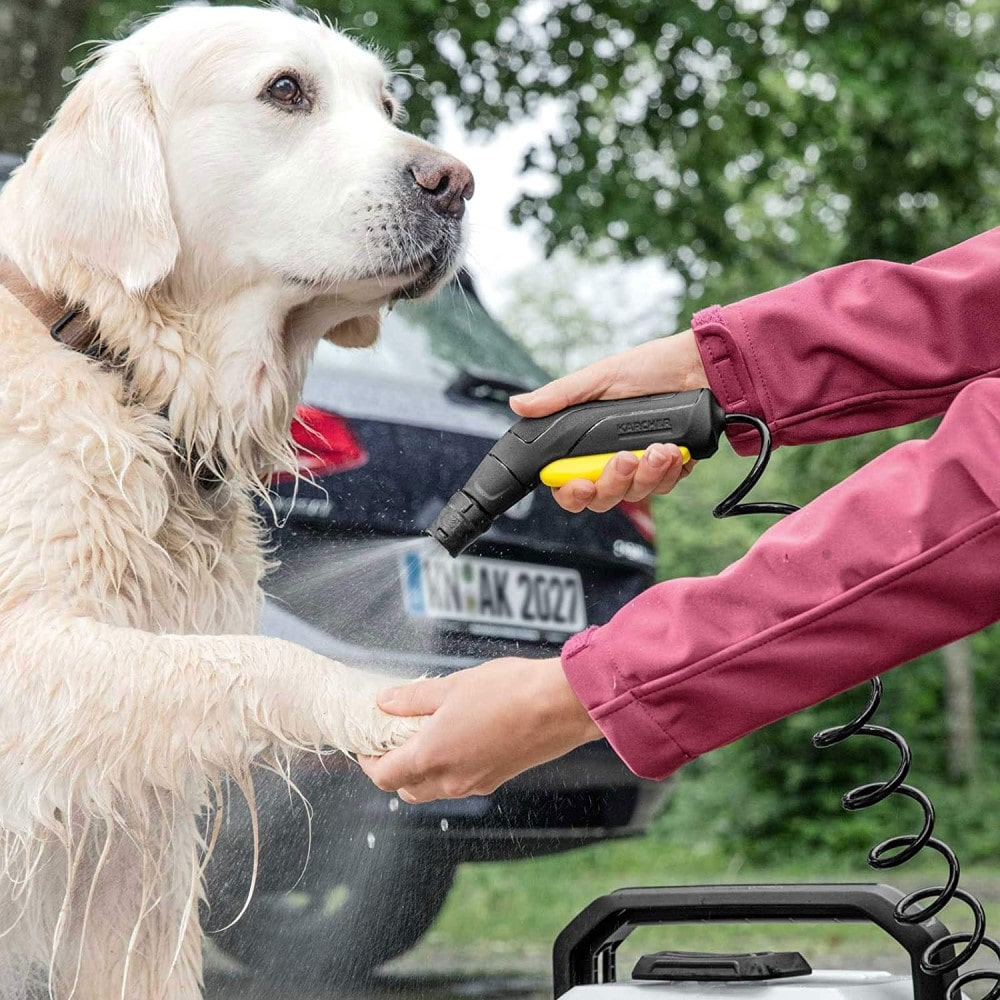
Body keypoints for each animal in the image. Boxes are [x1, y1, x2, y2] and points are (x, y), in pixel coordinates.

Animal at [0, 3, 472, 996]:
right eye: (285, 90)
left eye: (388, 103)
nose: (454, 183)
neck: (108, 354)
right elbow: (256, 661)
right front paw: (374, 705)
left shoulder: (123, 847)